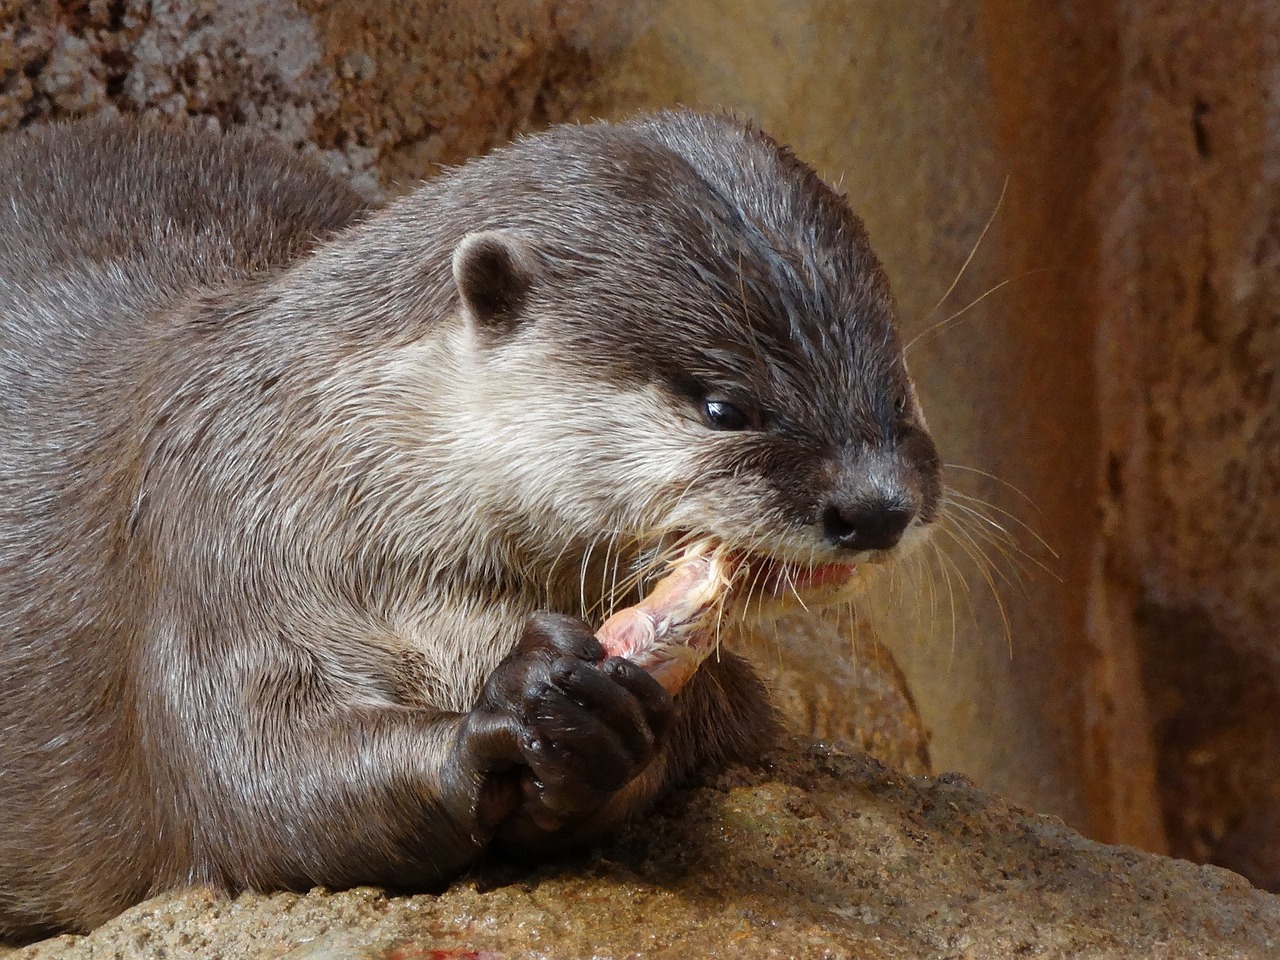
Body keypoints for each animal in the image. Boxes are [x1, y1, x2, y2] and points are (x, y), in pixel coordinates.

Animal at [0, 112, 942, 942]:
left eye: (896, 384)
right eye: (723, 407)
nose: (877, 504)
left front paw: (603, 733)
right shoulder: (214, 547)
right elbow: (249, 785)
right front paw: (507, 715)